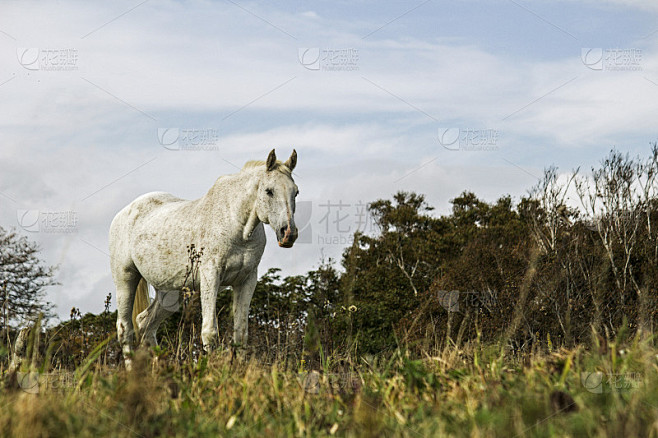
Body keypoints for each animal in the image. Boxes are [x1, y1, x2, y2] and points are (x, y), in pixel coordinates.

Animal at [109, 150, 298, 366]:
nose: (288, 234)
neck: (237, 226)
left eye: (296, 192)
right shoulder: (211, 276)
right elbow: (209, 331)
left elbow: (241, 334)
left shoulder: (247, 280)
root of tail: (124, 212)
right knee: (125, 329)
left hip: (169, 293)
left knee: (145, 323)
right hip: (126, 279)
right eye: (269, 191)